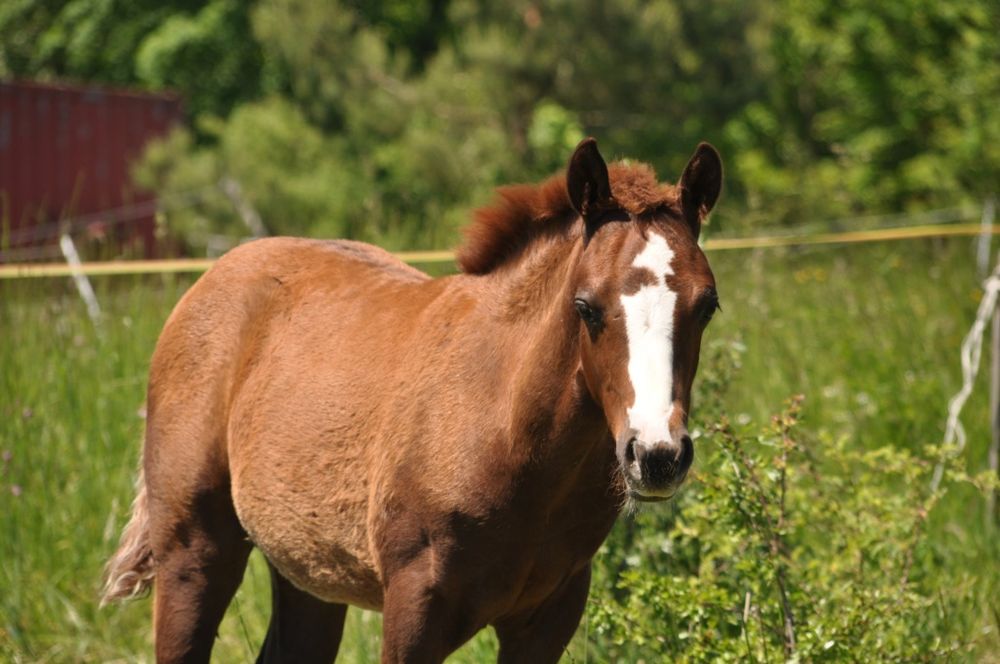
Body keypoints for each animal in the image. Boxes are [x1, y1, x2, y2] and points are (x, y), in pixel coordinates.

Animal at [101, 137, 722, 663]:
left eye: (707, 306)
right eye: (586, 307)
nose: (657, 455)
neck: (507, 429)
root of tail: (209, 279)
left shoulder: (548, 616)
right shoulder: (414, 605)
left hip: (308, 571)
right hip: (193, 552)